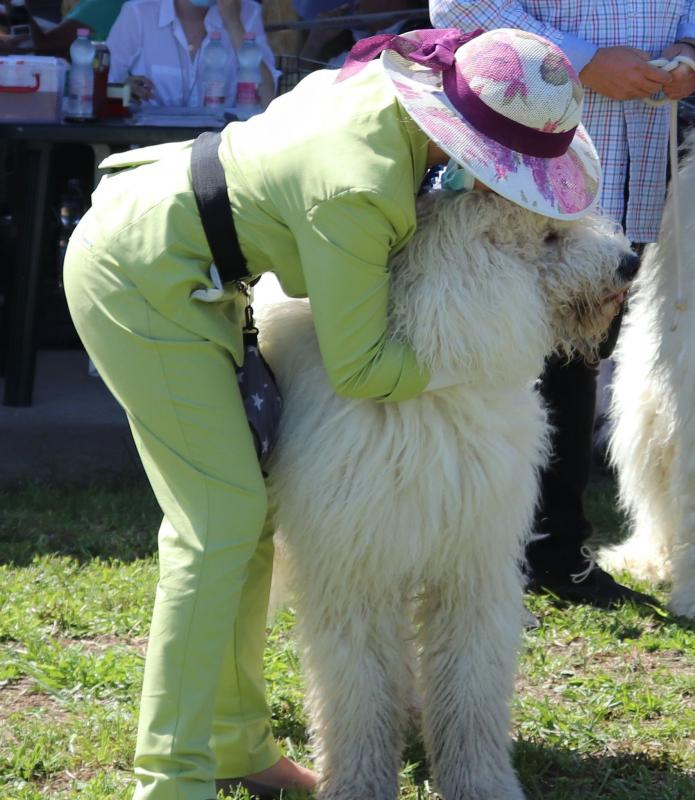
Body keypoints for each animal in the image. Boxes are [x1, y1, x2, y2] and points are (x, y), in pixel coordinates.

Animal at [258, 189, 635, 800]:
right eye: (549, 237)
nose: (630, 263)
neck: (430, 381)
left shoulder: (472, 562)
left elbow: (470, 686)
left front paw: (481, 783)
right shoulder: (356, 569)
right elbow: (358, 690)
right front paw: (359, 782)